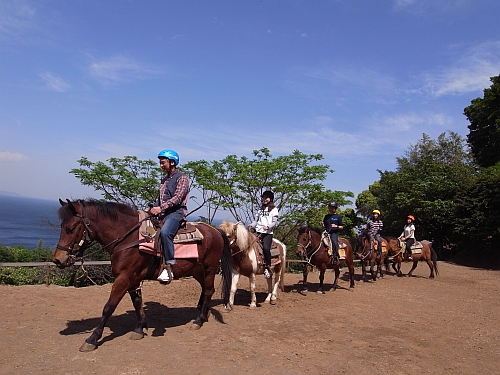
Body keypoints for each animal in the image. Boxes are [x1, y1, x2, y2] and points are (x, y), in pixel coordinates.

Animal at [52, 200, 232, 352]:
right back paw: (204, 313)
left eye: (71, 228)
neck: (128, 238)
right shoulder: (133, 279)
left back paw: (199, 320)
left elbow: (109, 307)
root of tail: (215, 231)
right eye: (62, 226)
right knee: (207, 289)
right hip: (197, 270)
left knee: (208, 290)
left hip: (209, 268)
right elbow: (137, 303)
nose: (57, 259)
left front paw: (92, 339)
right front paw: (140, 328)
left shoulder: (123, 278)